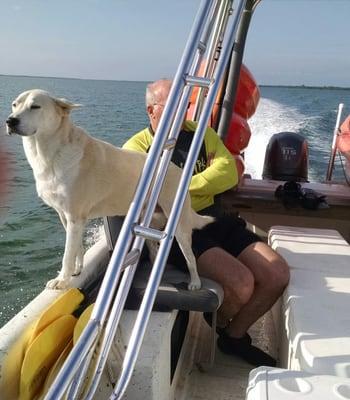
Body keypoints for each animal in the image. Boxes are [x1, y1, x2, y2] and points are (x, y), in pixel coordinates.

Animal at [6, 90, 213, 290]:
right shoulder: (66, 217)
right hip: (150, 223)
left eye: (35, 106)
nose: (10, 121)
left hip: (179, 226)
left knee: (190, 257)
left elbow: (67, 255)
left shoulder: (74, 217)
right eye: (14, 104)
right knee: (154, 250)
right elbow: (76, 248)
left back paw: (195, 283)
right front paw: (77, 270)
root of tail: (178, 170)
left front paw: (61, 280)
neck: (50, 152)